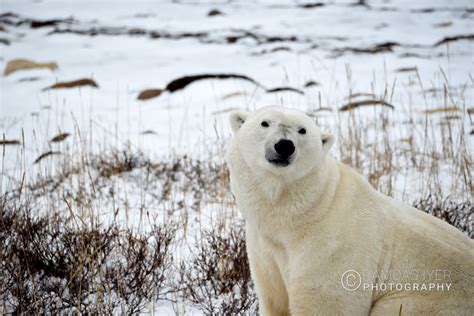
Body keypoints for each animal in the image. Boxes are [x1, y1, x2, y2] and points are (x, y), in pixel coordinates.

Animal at [226, 107, 474, 316]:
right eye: (265, 123)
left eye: (302, 130)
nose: (284, 145)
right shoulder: (265, 249)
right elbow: (274, 298)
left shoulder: (331, 249)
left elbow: (325, 302)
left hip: (422, 299)